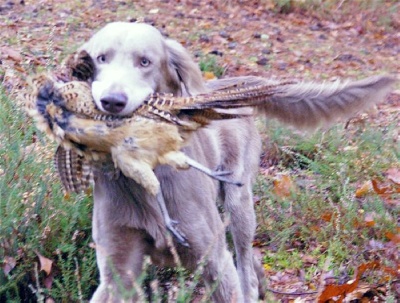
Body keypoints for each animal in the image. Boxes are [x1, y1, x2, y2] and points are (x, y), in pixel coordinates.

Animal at [74, 22, 394, 302]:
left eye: (145, 62)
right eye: (101, 58)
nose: (112, 101)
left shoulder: (214, 260)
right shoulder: (117, 272)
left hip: (238, 204)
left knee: (245, 266)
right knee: (251, 262)